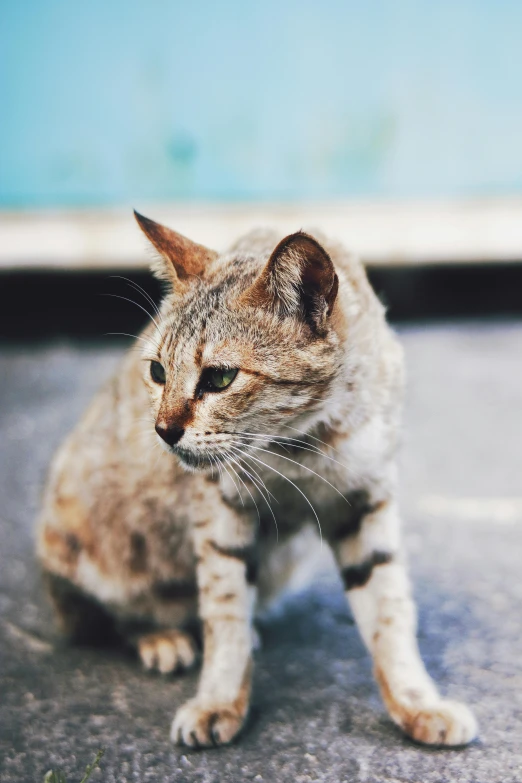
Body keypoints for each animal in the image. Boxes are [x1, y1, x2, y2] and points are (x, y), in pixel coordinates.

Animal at [37, 213, 476, 748]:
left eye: (220, 378)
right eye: (158, 371)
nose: (163, 430)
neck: (300, 444)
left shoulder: (365, 497)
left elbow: (389, 609)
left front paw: (416, 702)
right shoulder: (221, 508)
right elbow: (224, 609)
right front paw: (220, 699)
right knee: (104, 609)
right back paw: (160, 635)